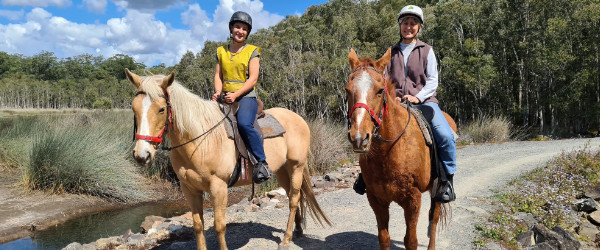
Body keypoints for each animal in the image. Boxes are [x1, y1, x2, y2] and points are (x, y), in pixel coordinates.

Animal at [126, 69, 330, 250]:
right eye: (133, 108)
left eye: (161, 109)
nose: (142, 155)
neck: (201, 141)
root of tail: (297, 117)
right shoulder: (189, 189)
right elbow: (198, 226)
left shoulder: (218, 187)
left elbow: (219, 226)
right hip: (281, 170)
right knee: (292, 197)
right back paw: (297, 230)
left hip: (297, 166)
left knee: (294, 198)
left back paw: (286, 240)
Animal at [344, 47, 452, 249]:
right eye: (347, 90)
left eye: (380, 91)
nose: (359, 138)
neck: (387, 152)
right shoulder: (376, 199)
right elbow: (384, 238)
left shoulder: (413, 200)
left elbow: (411, 240)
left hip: (437, 190)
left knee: (434, 218)